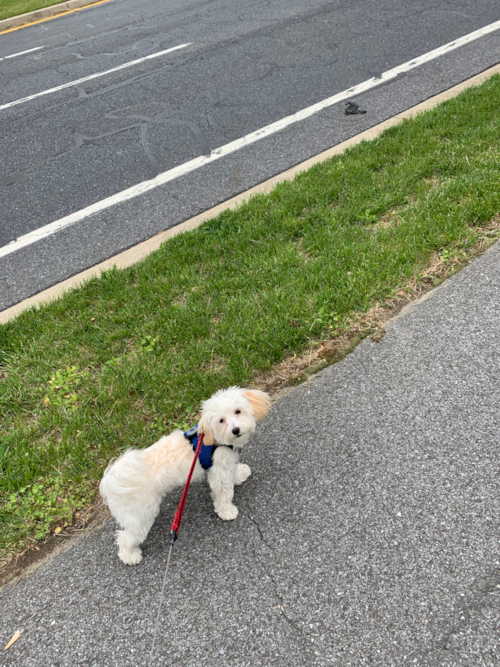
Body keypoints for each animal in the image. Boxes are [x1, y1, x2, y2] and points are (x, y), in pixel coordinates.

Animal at [97, 386, 270, 564]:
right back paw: (130, 556)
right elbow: (223, 493)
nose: (235, 430)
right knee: (126, 537)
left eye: (238, 411)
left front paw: (239, 474)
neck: (214, 440)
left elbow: (232, 471)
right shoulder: (218, 472)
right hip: (140, 516)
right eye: (221, 421)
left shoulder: (226, 463)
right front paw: (227, 511)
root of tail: (111, 481)